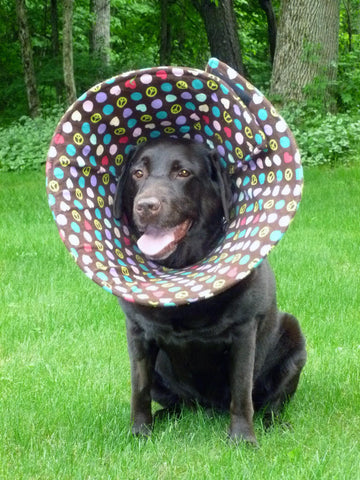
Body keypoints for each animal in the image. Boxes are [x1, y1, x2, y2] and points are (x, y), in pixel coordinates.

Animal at [113, 137, 306, 444]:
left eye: (183, 173)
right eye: (138, 174)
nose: (145, 206)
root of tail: (207, 407)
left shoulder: (244, 331)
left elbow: (241, 393)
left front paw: (242, 439)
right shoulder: (137, 333)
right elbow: (139, 390)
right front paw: (139, 433)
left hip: (294, 337)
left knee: (272, 404)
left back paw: (275, 424)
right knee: (176, 403)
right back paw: (164, 417)